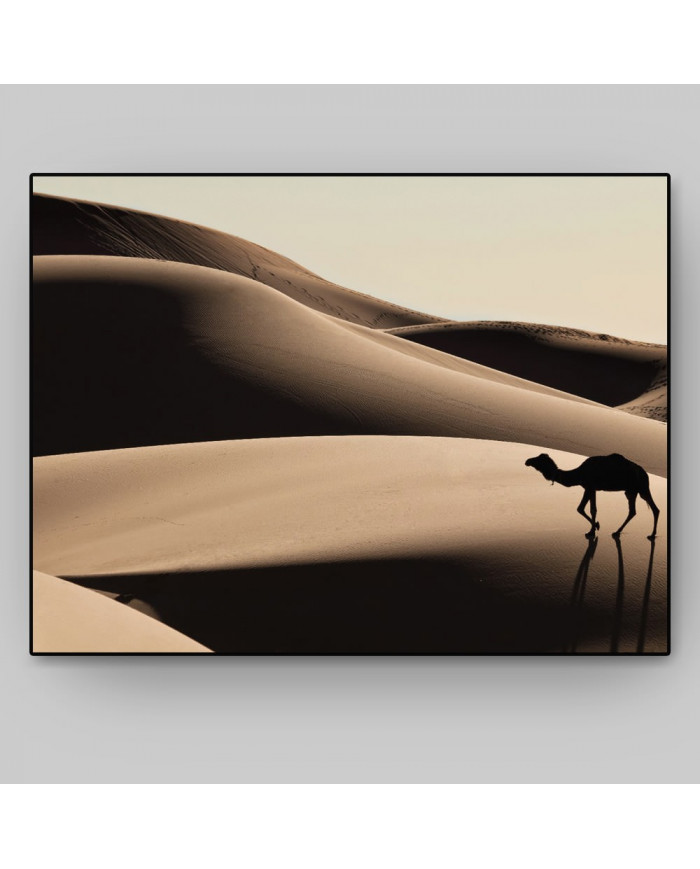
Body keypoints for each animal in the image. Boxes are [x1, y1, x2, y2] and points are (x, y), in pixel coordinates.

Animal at [525, 452, 660, 540]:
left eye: (539, 460)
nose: (527, 461)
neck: (578, 473)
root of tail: (645, 473)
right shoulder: (592, 489)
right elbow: (593, 509)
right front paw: (593, 529)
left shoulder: (589, 487)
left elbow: (580, 508)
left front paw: (594, 529)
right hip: (631, 491)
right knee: (635, 511)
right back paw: (618, 532)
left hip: (642, 488)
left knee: (653, 509)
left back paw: (651, 534)